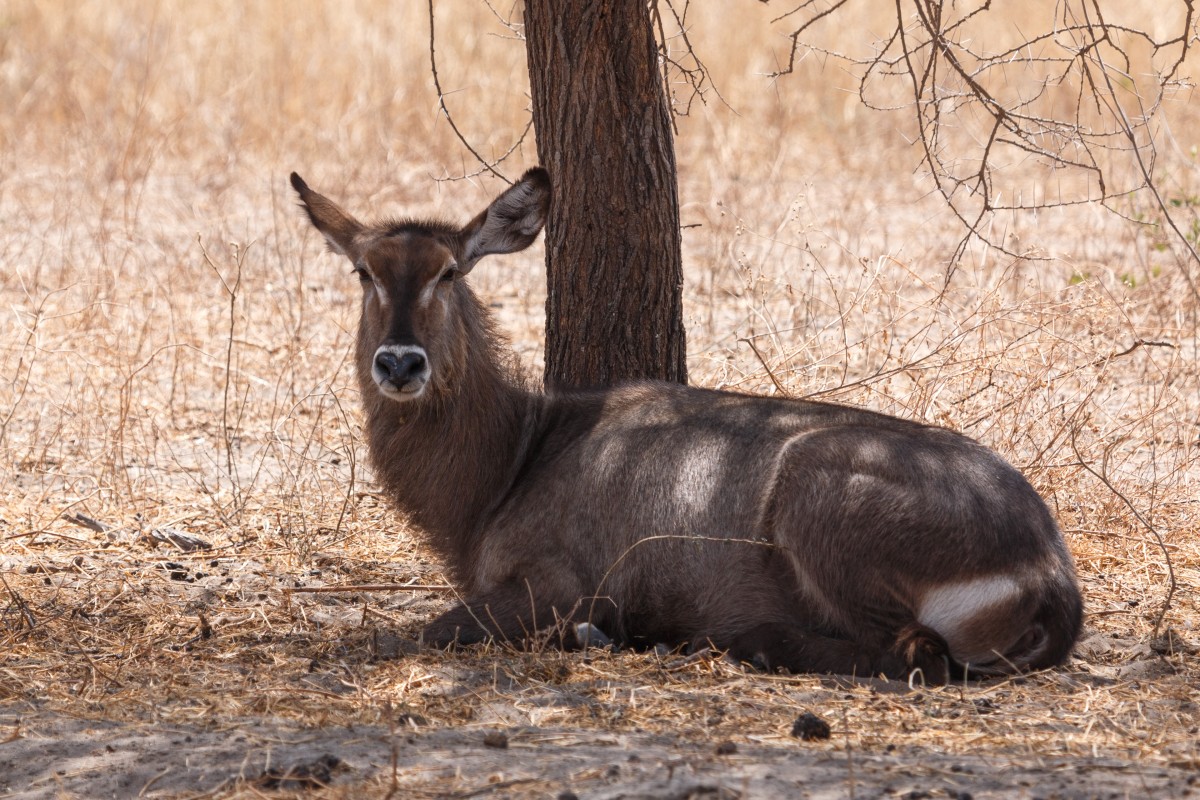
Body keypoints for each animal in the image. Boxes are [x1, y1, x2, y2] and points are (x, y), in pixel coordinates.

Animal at [292, 169, 1089, 681]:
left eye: (449, 272)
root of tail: (1050, 570)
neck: (514, 458)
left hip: (813, 498)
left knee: (914, 654)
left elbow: (422, 630)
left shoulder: (559, 581)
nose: (401, 363)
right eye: (365, 271)